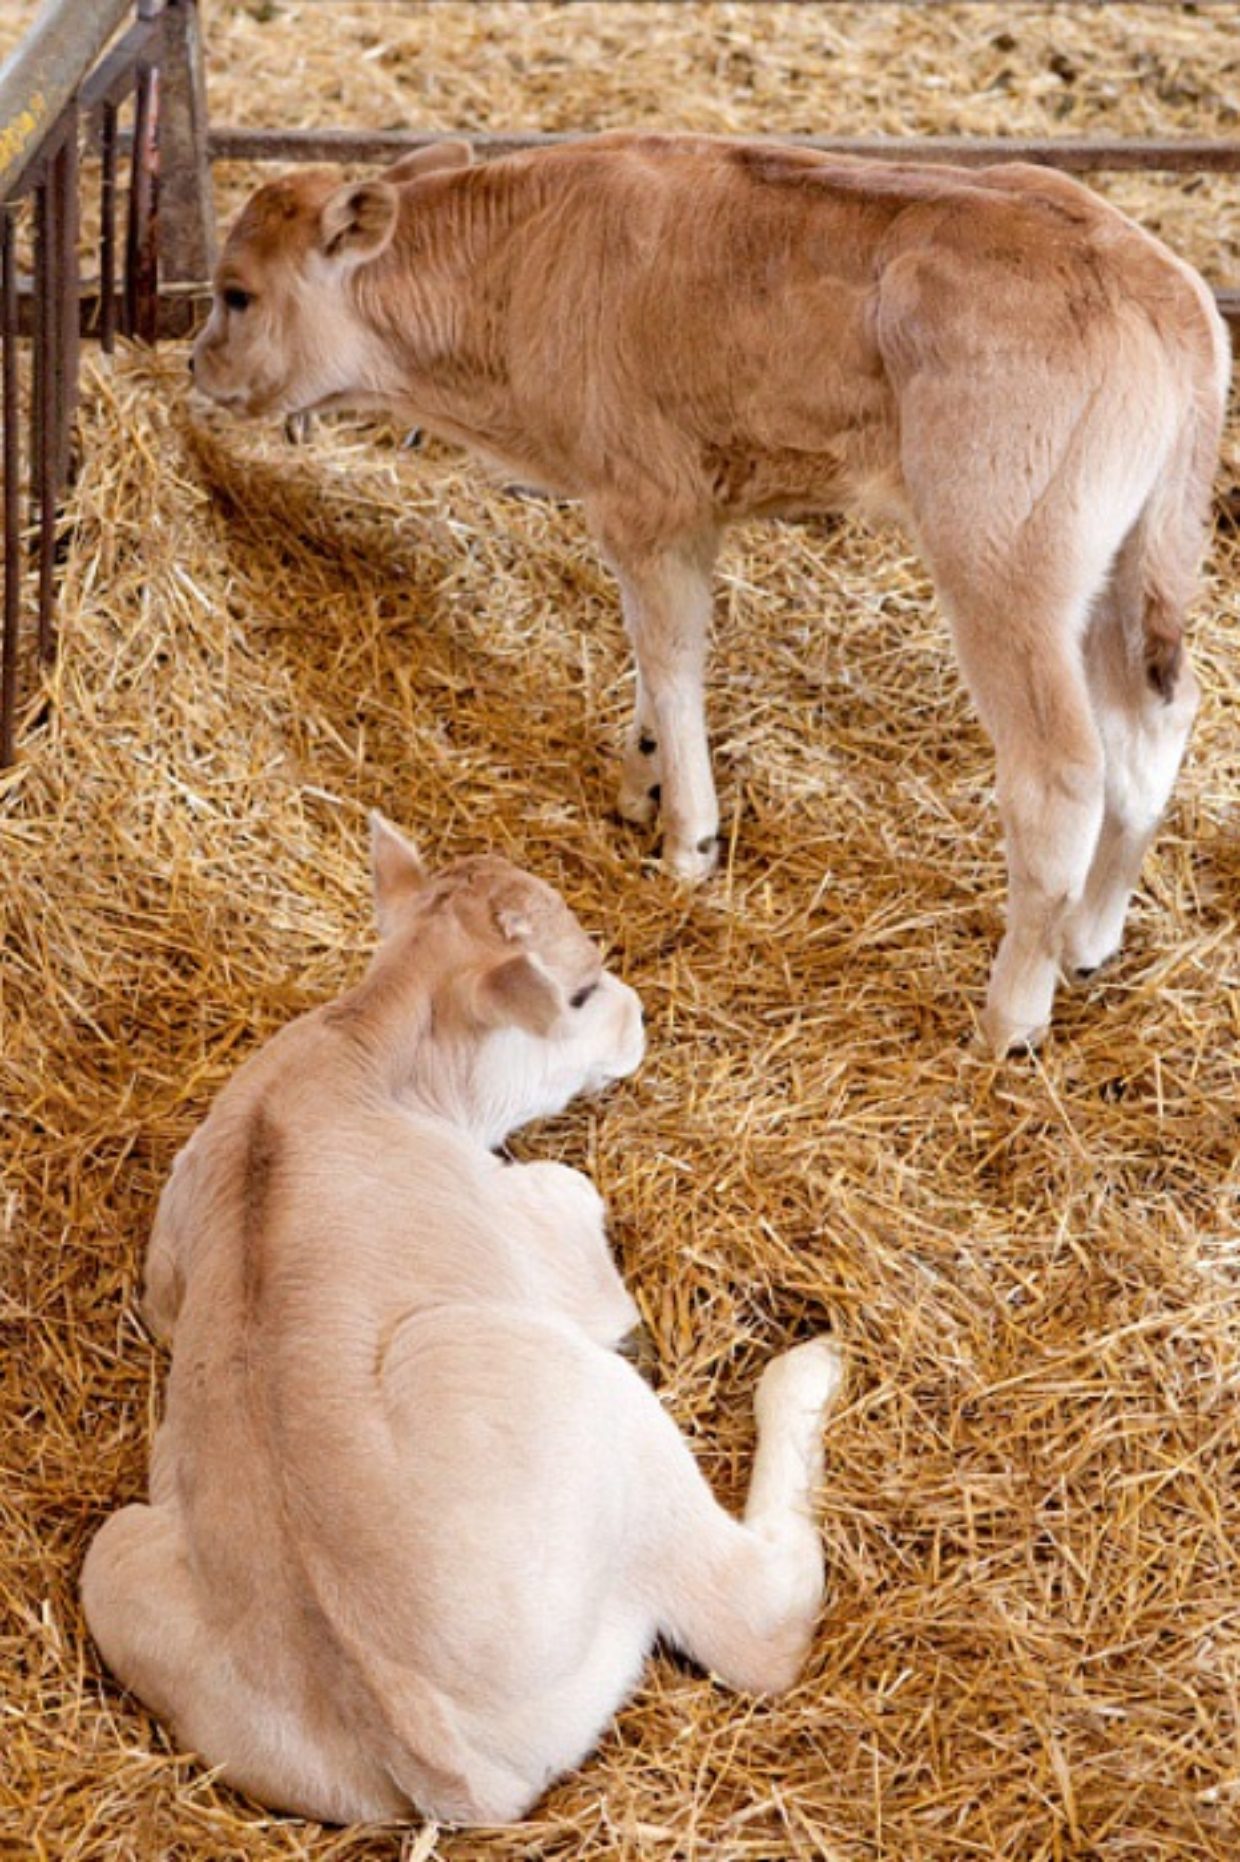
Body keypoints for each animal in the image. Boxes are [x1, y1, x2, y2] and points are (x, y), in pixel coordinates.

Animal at [81, 823, 841, 1824]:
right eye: (583, 991)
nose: (639, 1012)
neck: (366, 1044)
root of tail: (441, 1757)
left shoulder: (173, 1233)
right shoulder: (550, 1230)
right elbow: (582, 1212)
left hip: (113, 1558)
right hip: (550, 1382)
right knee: (762, 1625)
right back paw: (810, 1367)